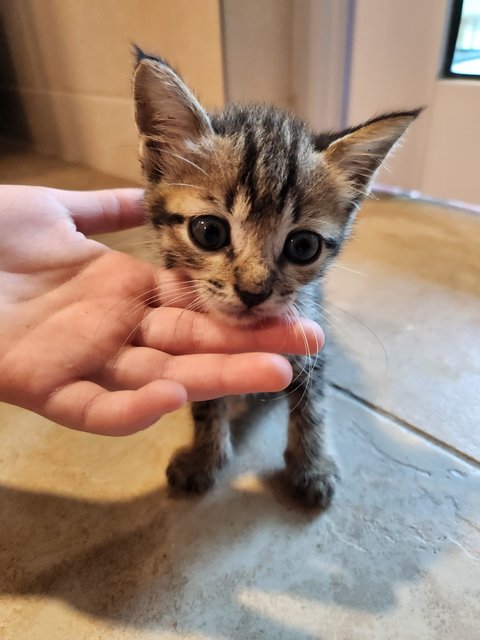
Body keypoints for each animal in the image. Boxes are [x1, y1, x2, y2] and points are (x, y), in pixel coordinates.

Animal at [133, 47, 418, 508]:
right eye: (209, 232)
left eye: (303, 246)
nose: (253, 291)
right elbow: (206, 403)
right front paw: (204, 457)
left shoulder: (311, 334)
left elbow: (313, 407)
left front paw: (311, 466)